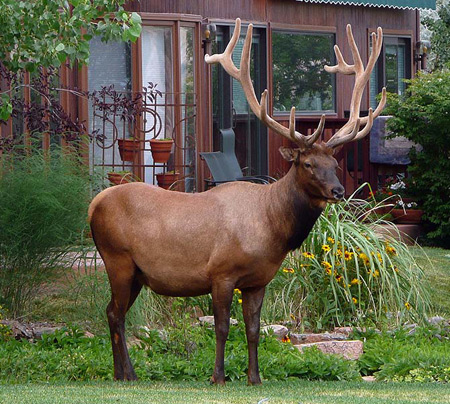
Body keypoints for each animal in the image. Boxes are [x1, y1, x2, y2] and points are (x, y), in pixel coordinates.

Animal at [89, 19, 386, 386]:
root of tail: (93, 205)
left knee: (111, 311)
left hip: (136, 273)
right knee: (116, 313)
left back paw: (121, 373)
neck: (271, 228)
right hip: (117, 259)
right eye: (307, 164)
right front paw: (218, 376)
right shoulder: (221, 272)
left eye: (333, 163)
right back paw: (128, 373)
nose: (338, 191)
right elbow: (220, 329)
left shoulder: (258, 281)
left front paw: (254, 377)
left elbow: (254, 330)